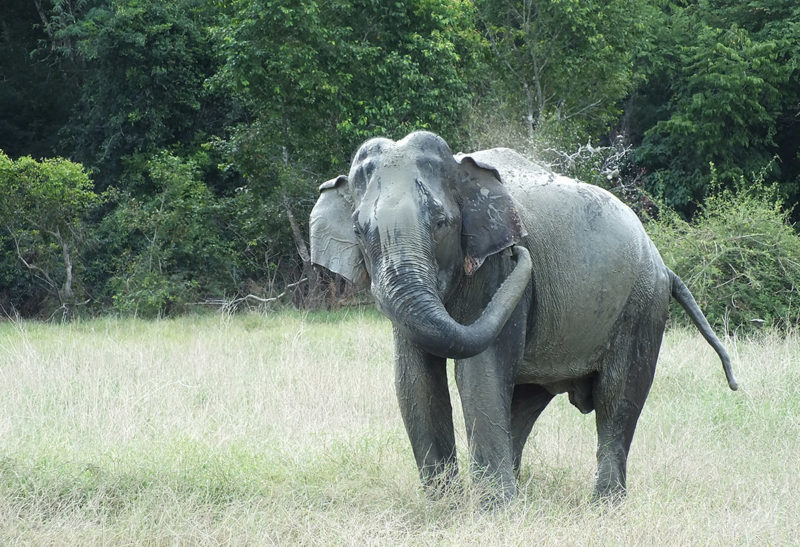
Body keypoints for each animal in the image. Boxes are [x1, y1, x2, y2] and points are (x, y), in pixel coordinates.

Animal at [308, 130, 736, 506]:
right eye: (360, 230)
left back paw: (603, 507)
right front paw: (443, 509)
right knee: (526, 400)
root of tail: (661, 261)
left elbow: (478, 372)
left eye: (441, 223)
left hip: (641, 303)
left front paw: (492, 514)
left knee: (618, 396)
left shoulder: (495, 267)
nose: (521, 252)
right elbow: (415, 379)